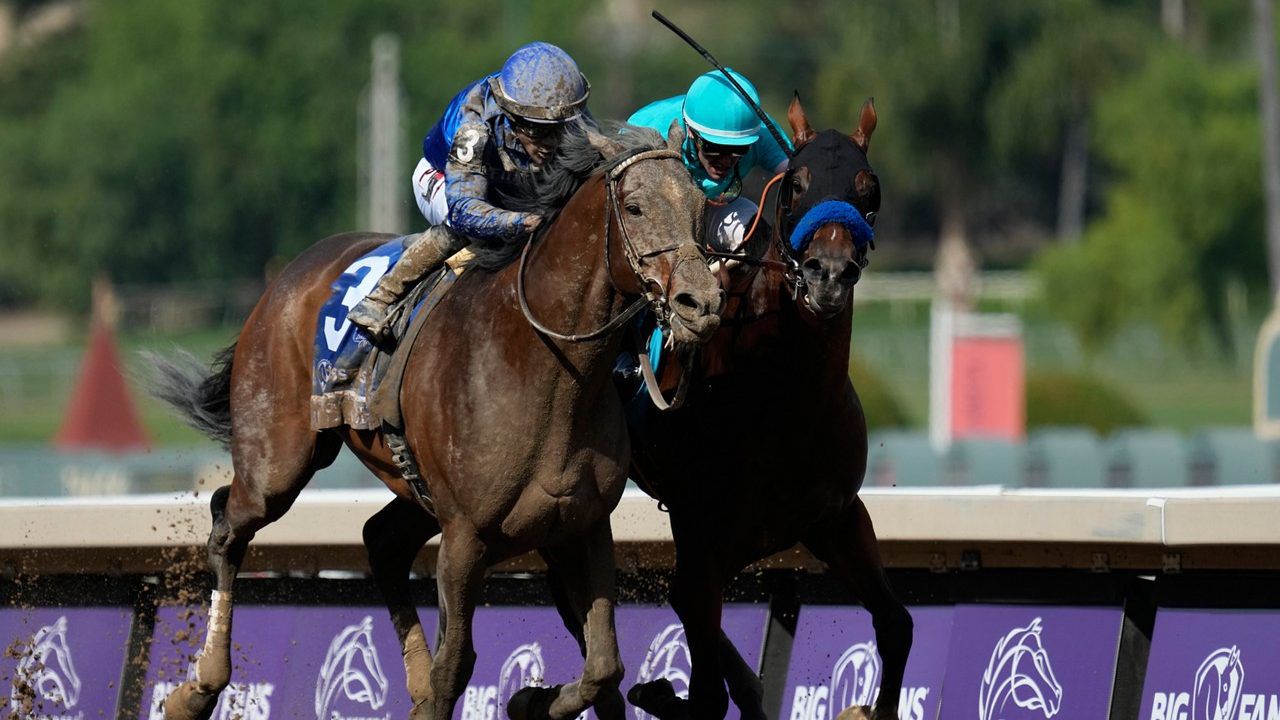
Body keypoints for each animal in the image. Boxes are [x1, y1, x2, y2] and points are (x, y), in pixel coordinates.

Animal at [146, 122, 727, 717]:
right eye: (634, 207)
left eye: (701, 205)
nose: (701, 303)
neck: (546, 370)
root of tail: (288, 275)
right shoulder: (465, 536)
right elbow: (458, 667)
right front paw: (514, 696)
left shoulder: (583, 526)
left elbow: (604, 666)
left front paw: (532, 699)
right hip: (278, 463)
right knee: (227, 524)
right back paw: (196, 688)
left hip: (413, 490)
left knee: (380, 540)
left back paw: (414, 678)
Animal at [622, 95, 911, 717]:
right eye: (796, 184)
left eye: (869, 188)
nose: (829, 273)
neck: (784, 401)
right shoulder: (703, 538)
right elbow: (704, 681)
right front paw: (659, 687)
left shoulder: (837, 517)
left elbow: (896, 624)